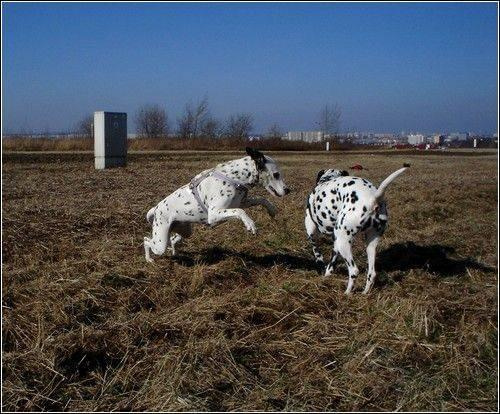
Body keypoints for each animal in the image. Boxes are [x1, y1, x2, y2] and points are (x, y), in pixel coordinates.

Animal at [144, 147, 290, 260]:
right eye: (276, 174)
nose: (288, 190)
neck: (234, 178)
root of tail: (156, 208)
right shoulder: (214, 214)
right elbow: (241, 212)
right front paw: (250, 224)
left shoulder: (240, 202)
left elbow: (261, 199)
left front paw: (271, 209)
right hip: (160, 244)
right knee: (146, 241)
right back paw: (149, 259)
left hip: (185, 231)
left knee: (173, 240)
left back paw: (174, 252)